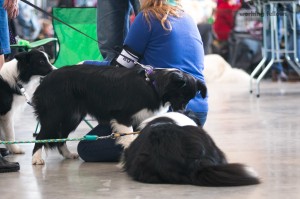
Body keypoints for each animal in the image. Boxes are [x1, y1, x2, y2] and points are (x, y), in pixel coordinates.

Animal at [32, 64, 206, 165]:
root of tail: (45, 79)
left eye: (189, 98)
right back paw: (36, 158)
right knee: (42, 136)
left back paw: (67, 154)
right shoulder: (123, 115)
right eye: (181, 96)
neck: (153, 85)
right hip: (54, 115)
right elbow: (129, 137)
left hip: (72, 116)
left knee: (60, 137)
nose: (183, 112)